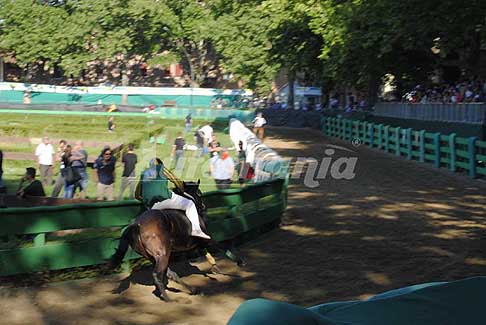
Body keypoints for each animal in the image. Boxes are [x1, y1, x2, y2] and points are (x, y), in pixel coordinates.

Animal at [112, 178, 245, 300]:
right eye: (199, 193)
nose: (203, 207)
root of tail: (137, 225)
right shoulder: (207, 239)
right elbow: (222, 246)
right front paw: (239, 262)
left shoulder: (198, 243)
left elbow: (207, 252)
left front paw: (215, 267)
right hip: (162, 254)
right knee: (157, 274)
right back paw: (168, 298)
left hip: (154, 257)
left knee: (170, 274)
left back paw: (193, 290)